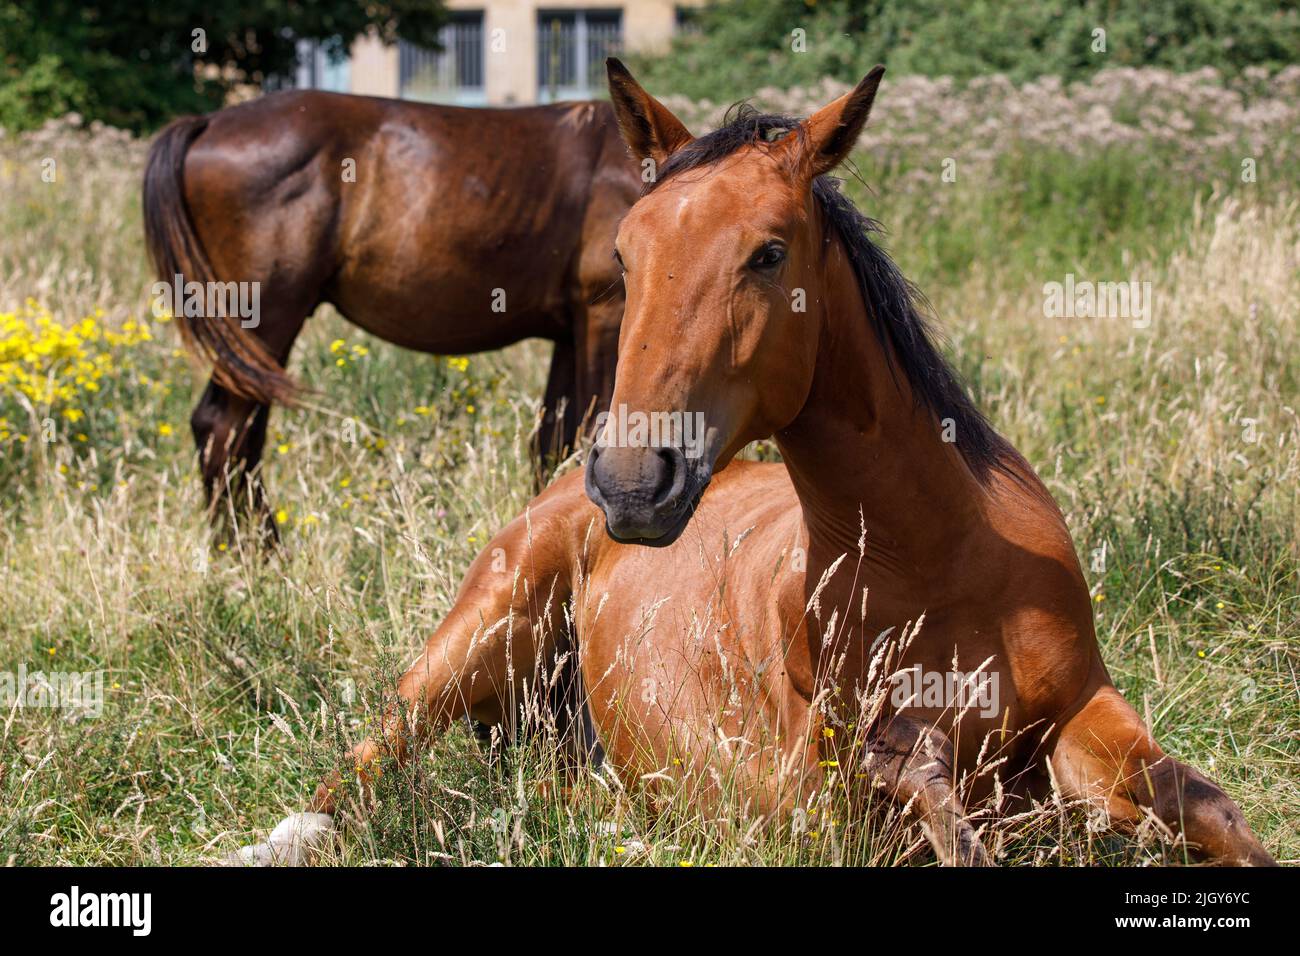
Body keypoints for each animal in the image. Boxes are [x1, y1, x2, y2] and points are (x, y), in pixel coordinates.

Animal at [144, 87, 637, 530]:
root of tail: (208, 123)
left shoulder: (569, 334)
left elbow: (553, 445)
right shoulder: (603, 319)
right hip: (263, 323)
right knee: (222, 430)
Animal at [239, 59, 1274, 868]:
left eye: (769, 253)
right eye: (625, 256)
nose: (630, 483)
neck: (944, 561)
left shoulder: (1088, 711)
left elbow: (1211, 808)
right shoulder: (850, 782)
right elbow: (948, 819)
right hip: (476, 631)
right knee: (371, 759)